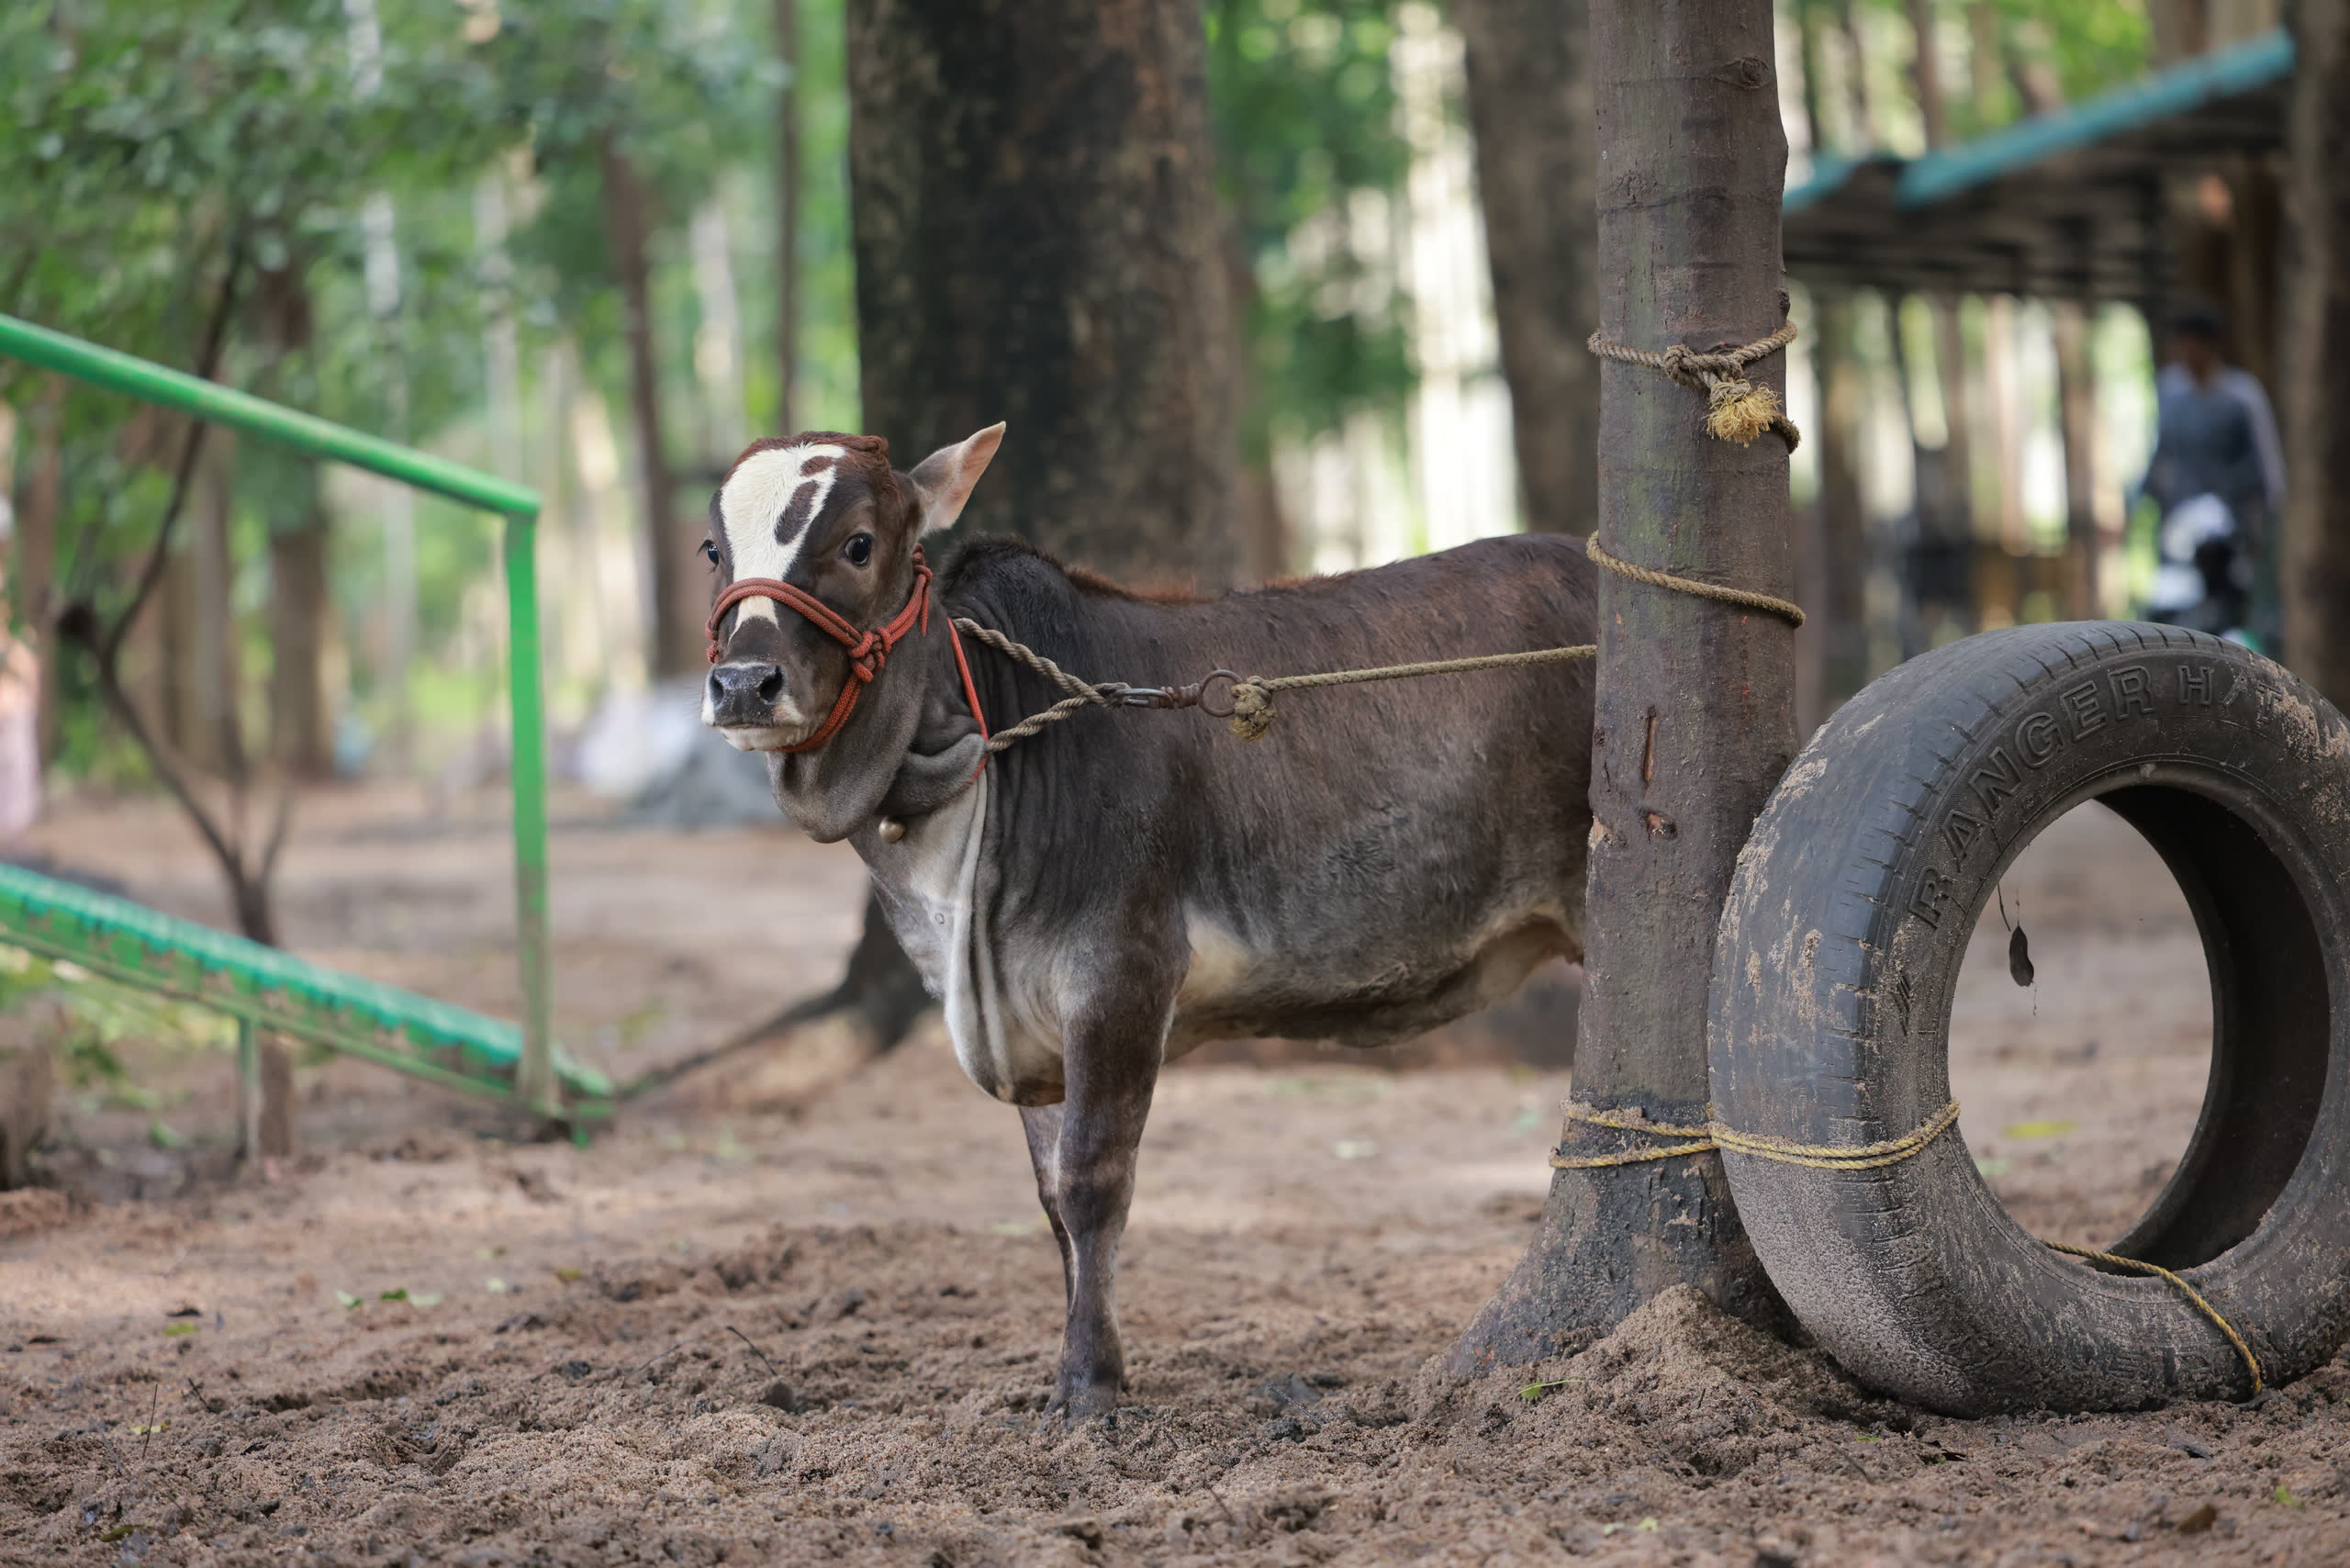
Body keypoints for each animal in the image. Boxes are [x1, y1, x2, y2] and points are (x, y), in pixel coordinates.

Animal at [702, 426, 1596, 1423]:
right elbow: (1052, 1200)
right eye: (713, 550)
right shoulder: (1022, 1018)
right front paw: (1080, 1364)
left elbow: (1095, 1180)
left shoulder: (1120, 975)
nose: (742, 682)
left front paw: (1091, 1385)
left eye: (858, 543)